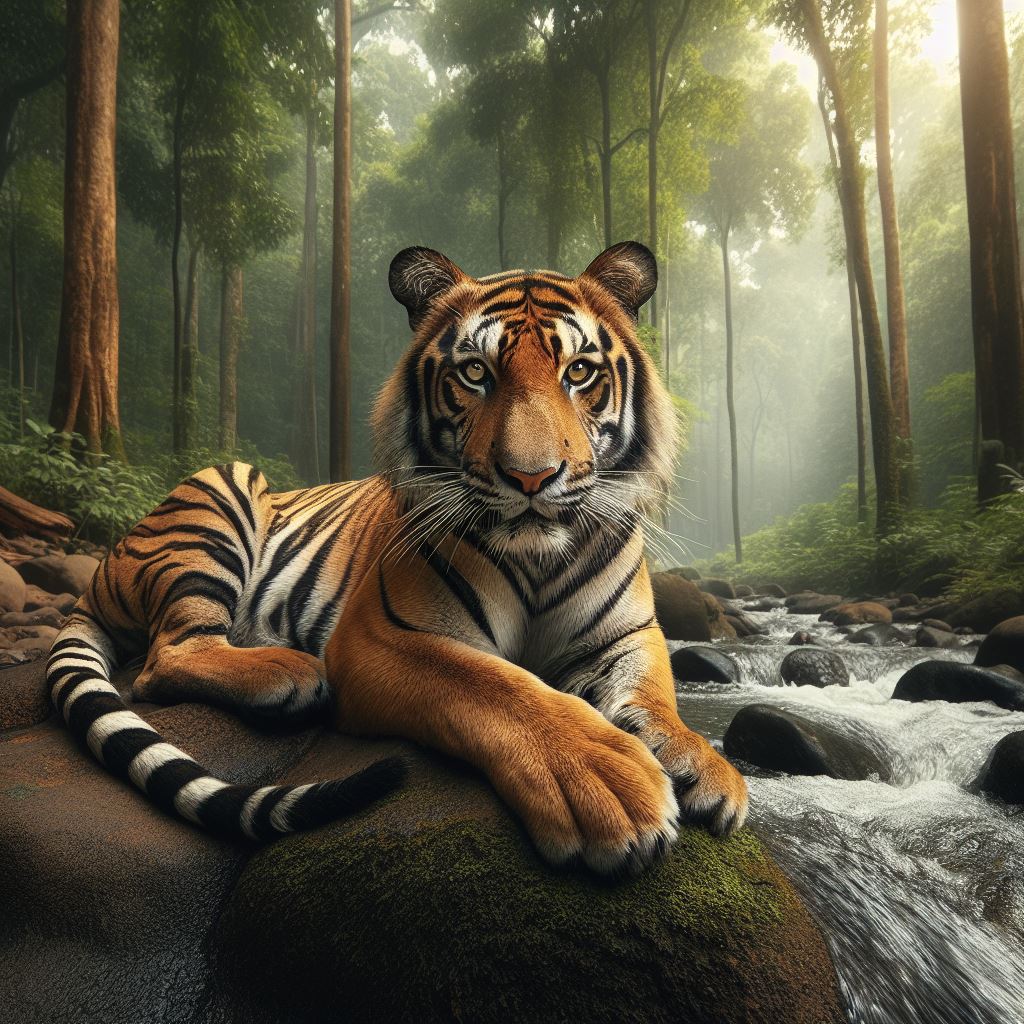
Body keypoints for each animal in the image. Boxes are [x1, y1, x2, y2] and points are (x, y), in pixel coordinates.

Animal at [46, 241, 747, 875]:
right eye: (475, 373)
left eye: (578, 373)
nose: (531, 477)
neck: (539, 560)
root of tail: (98, 574)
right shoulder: (380, 636)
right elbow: (498, 686)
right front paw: (607, 784)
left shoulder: (628, 635)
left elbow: (655, 695)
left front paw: (706, 768)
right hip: (220, 490)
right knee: (164, 659)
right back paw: (287, 672)